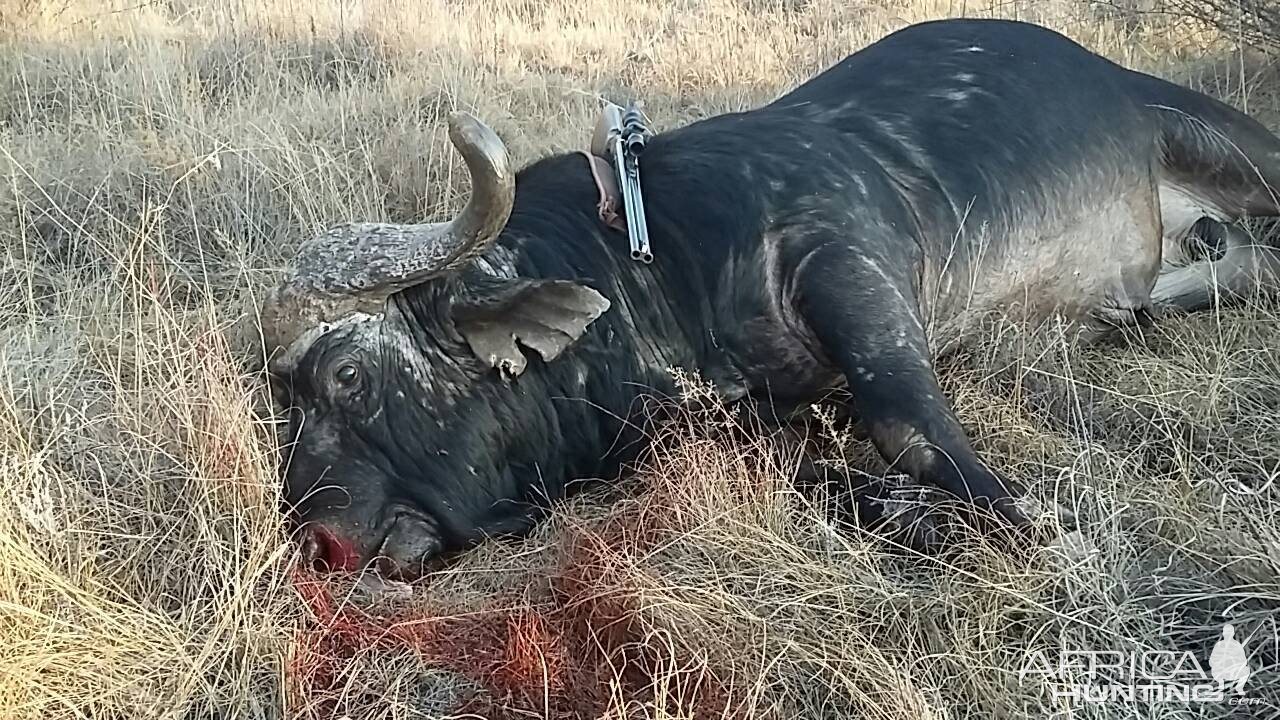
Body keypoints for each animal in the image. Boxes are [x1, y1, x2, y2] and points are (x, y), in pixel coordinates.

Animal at [257, 18, 1280, 576]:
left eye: (346, 374)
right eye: (282, 398)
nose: (319, 540)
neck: (654, 264)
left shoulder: (845, 261)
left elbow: (909, 426)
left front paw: (1037, 527)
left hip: (1230, 146)